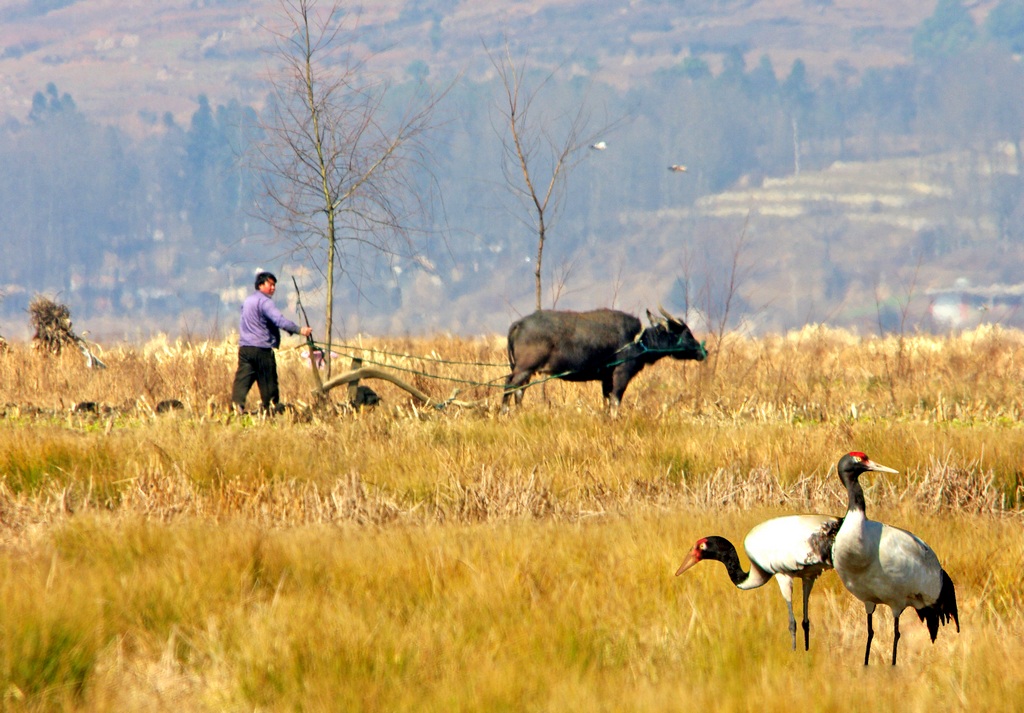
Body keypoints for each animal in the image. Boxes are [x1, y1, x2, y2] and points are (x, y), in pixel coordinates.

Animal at [501, 305, 708, 415]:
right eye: (686, 332)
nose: (702, 351)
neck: (639, 341)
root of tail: (518, 324)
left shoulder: (606, 378)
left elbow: (607, 401)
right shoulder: (621, 373)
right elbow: (616, 400)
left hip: (525, 370)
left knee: (519, 390)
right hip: (524, 368)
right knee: (509, 385)